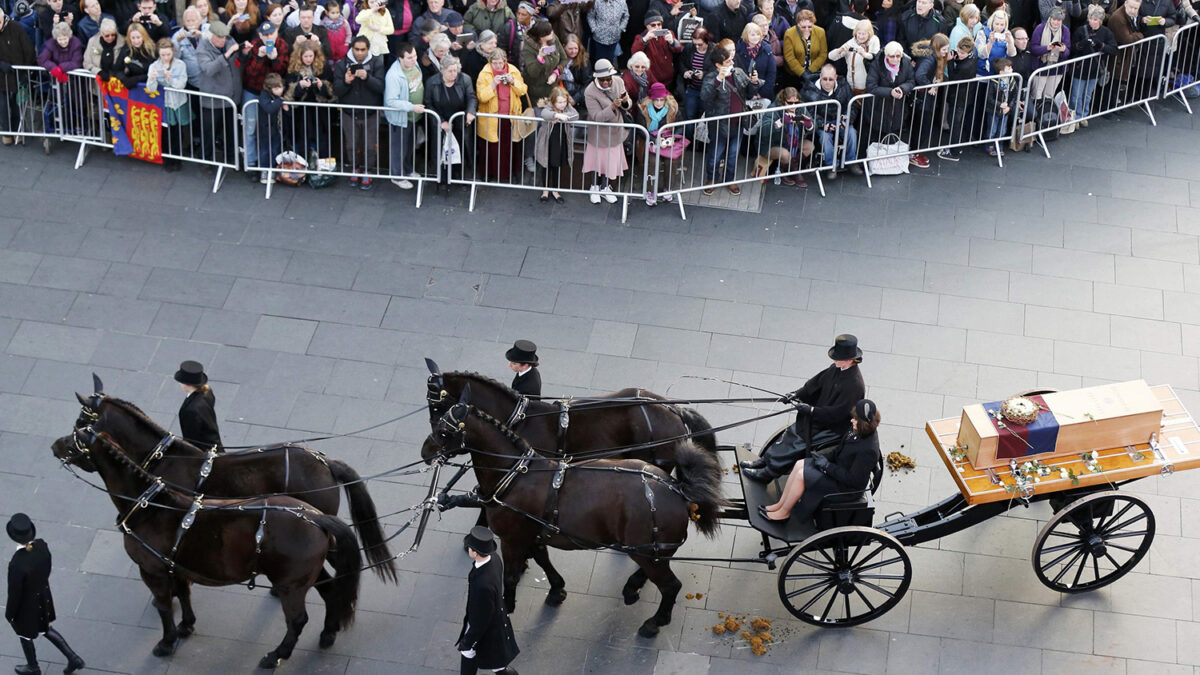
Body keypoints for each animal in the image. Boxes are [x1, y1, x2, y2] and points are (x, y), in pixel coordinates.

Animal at [50, 422, 360, 662]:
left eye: (75, 435)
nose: (54, 445)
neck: (150, 505)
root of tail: (313, 516)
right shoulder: (175, 565)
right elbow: (184, 592)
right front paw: (186, 626)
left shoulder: (151, 570)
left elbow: (164, 605)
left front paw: (166, 642)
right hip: (301, 576)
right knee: (330, 590)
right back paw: (327, 632)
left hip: (291, 586)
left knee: (296, 620)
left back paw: (276, 656)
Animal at [420, 389, 720, 634]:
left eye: (444, 430)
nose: (425, 451)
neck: (515, 476)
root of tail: (677, 489)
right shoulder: (533, 533)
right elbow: (542, 558)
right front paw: (556, 589)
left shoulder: (512, 539)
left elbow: (510, 576)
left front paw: (507, 607)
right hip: (650, 550)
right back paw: (633, 586)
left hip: (649, 550)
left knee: (671, 586)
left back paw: (654, 622)